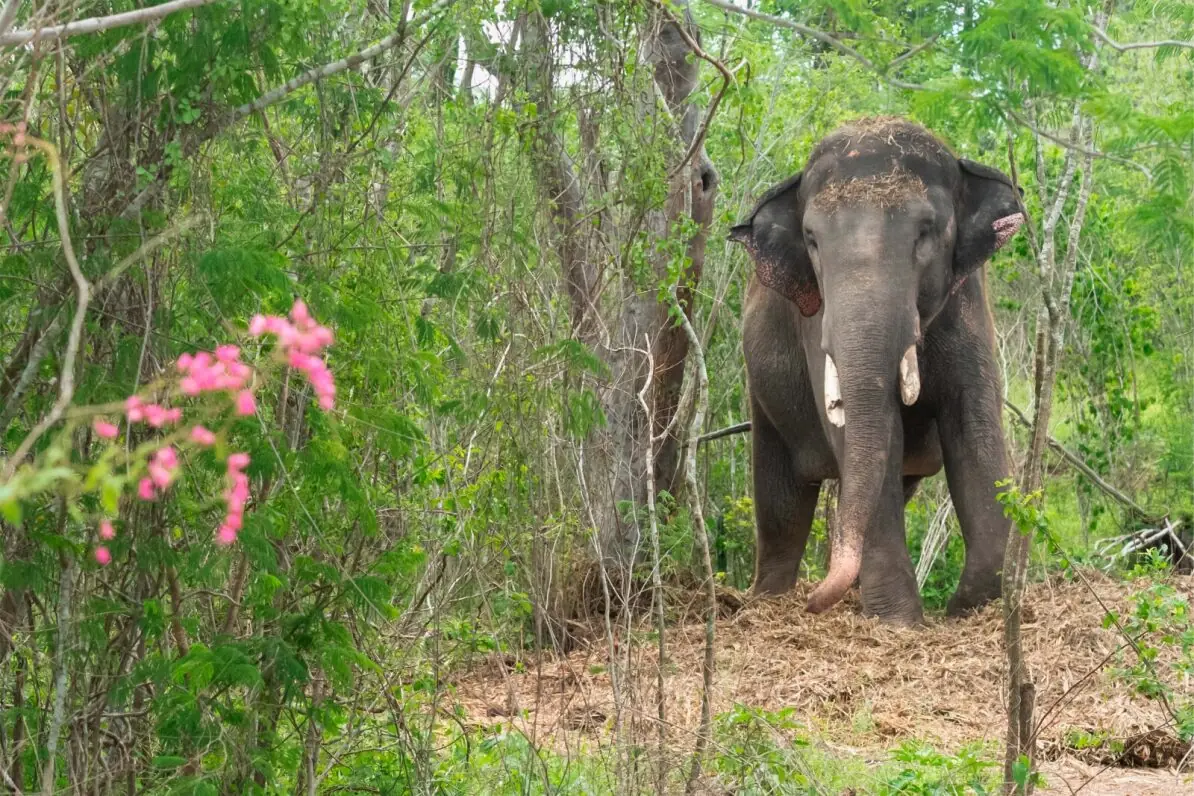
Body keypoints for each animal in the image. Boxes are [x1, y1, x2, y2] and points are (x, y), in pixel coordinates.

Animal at [728, 117, 1026, 625]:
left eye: (925, 231)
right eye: (811, 239)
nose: (813, 602)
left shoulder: (969, 301)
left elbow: (975, 425)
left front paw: (970, 607)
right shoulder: (816, 318)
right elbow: (859, 430)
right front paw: (899, 622)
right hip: (763, 394)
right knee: (782, 500)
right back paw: (768, 600)